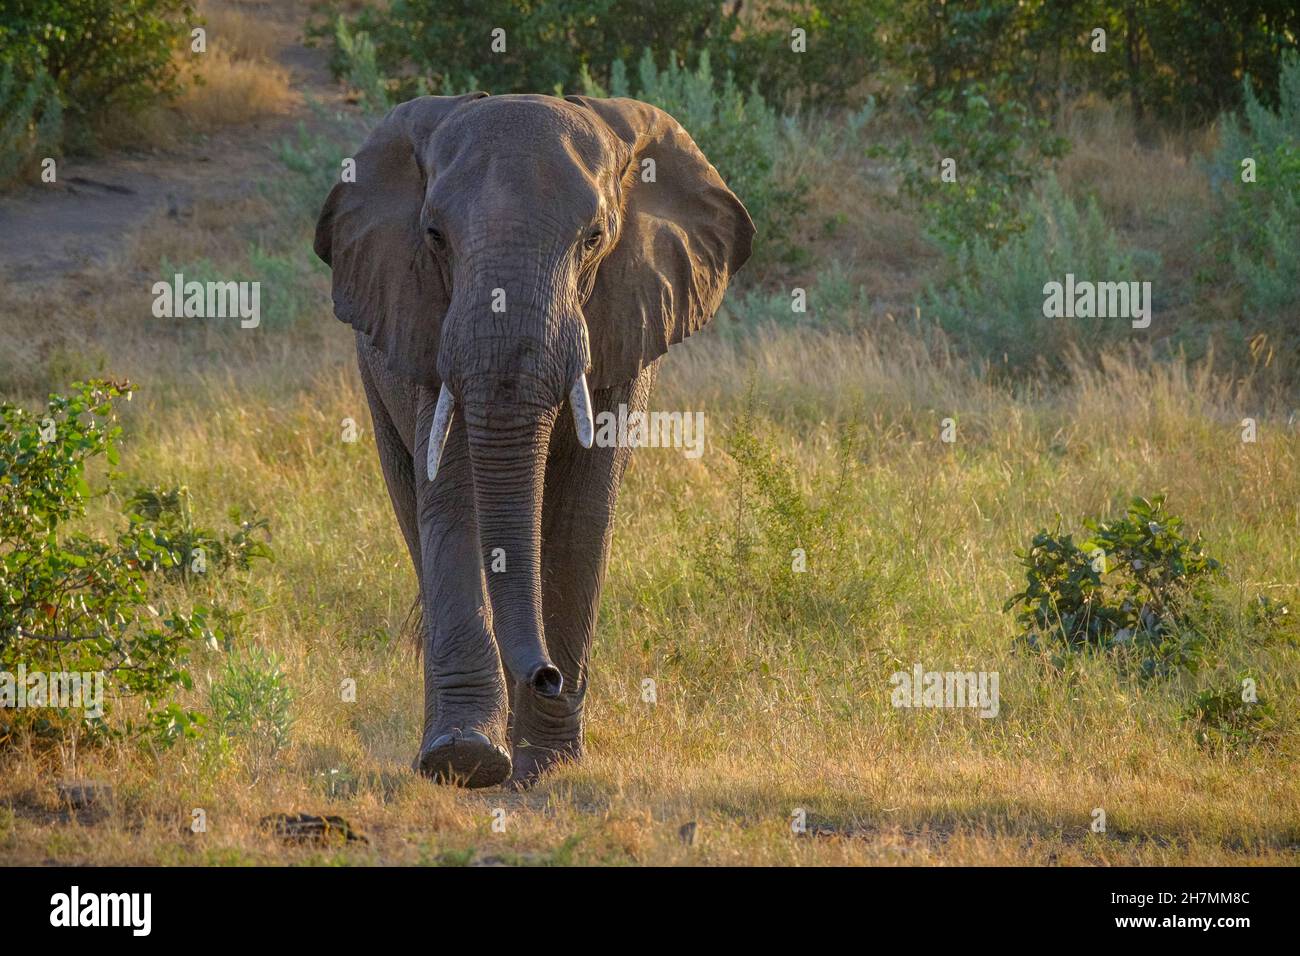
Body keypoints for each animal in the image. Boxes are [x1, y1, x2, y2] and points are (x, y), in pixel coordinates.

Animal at [312, 93, 754, 790]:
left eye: (594, 239)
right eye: (434, 237)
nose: (546, 676)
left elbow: (581, 512)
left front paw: (547, 766)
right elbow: (455, 495)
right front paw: (464, 759)